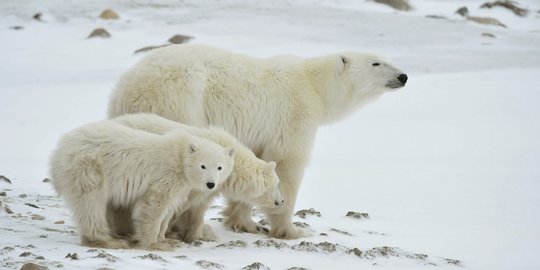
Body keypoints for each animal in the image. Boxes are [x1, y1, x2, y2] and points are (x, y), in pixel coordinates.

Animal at [50, 121, 234, 251]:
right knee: (91, 204)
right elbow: (154, 205)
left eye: (219, 167)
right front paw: (155, 244)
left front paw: (166, 239)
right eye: (203, 166)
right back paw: (109, 241)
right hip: (89, 167)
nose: (210, 184)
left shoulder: (181, 186)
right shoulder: (166, 174)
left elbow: (168, 210)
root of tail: (59, 150)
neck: (180, 156)